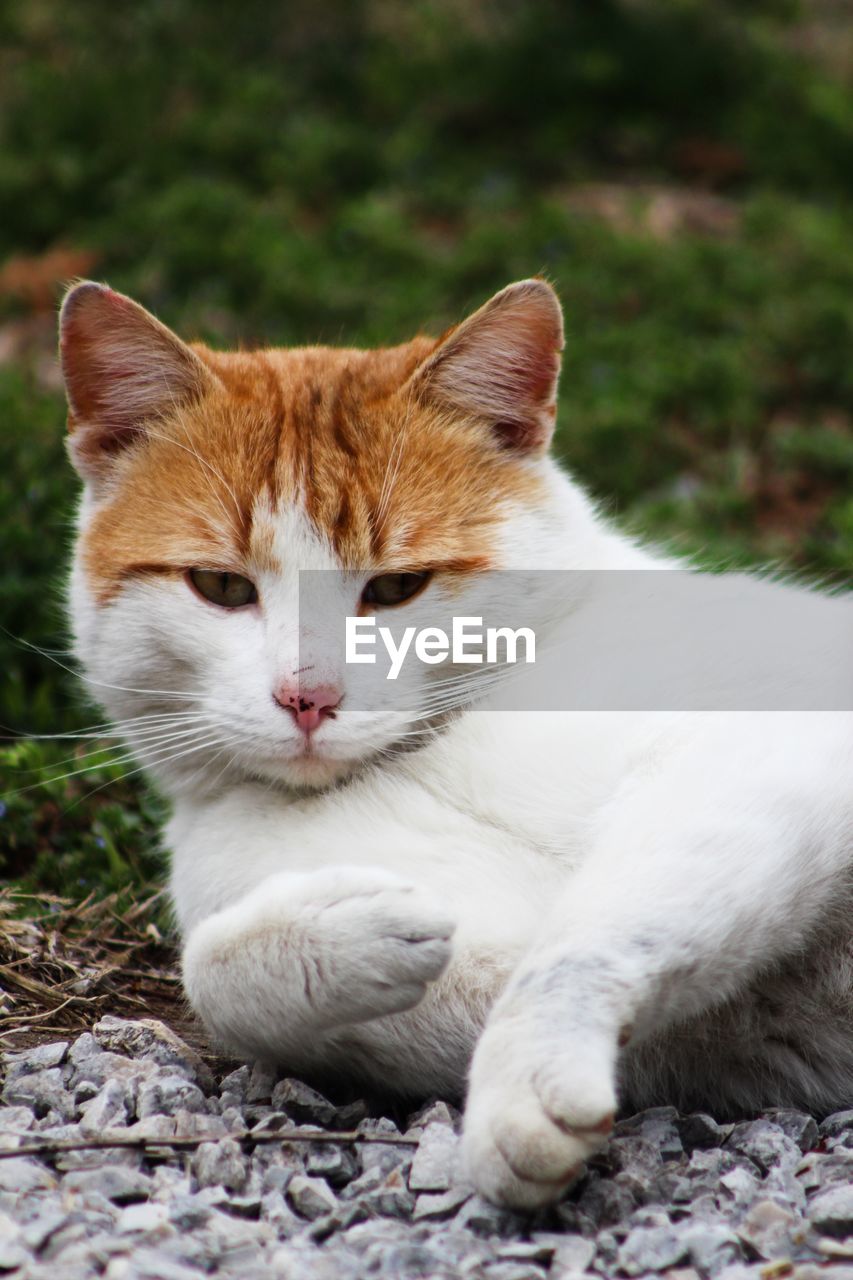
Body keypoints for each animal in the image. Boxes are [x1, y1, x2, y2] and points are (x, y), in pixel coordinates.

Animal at [59, 280, 850, 1208]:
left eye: (398, 587)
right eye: (220, 587)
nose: (307, 696)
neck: (425, 759)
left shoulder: (753, 764)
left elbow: (589, 935)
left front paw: (525, 1083)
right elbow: (209, 972)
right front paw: (349, 933)